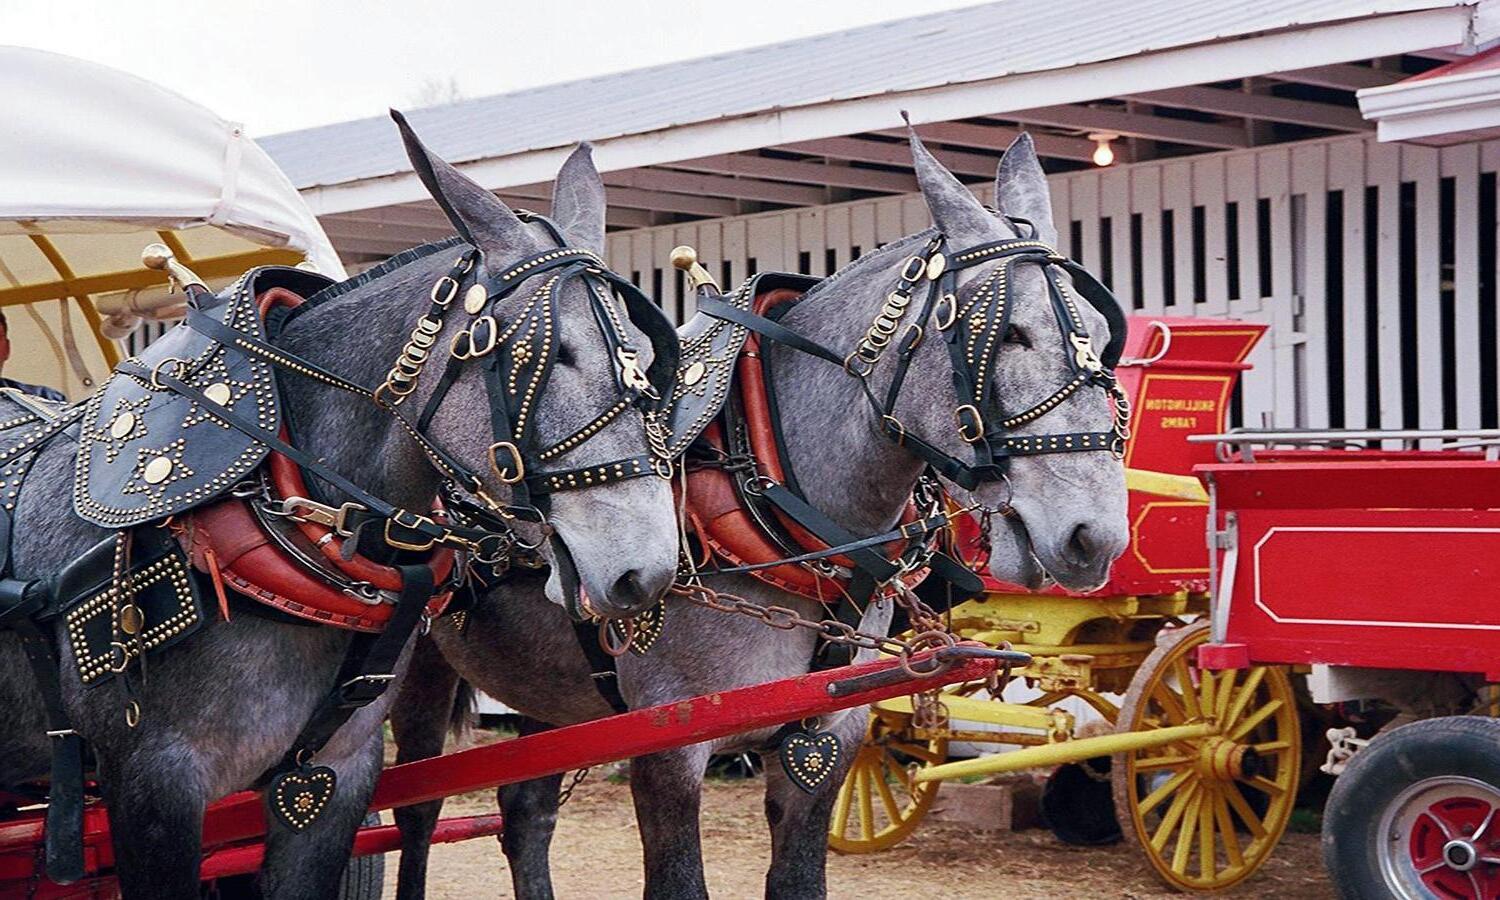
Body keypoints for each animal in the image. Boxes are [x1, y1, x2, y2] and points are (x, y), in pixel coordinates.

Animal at [388, 129, 1132, 899]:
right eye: (1010, 334)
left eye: (1100, 331)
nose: (1094, 536)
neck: (770, 495)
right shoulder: (669, 745)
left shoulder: (826, 738)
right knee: (416, 811)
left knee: (524, 809)